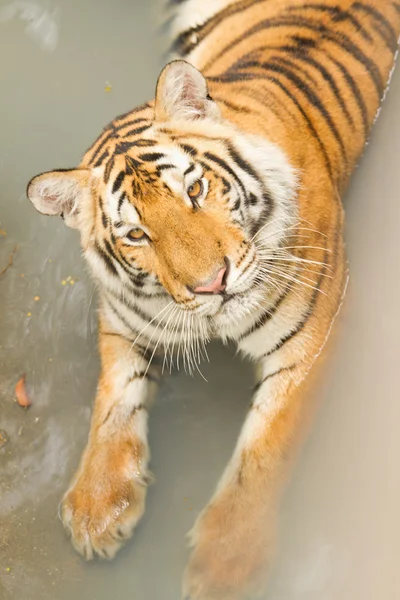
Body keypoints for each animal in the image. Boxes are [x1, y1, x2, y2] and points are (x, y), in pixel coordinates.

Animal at [26, 1, 398, 600]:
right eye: (136, 235)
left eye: (195, 190)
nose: (212, 284)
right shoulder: (126, 319)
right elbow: (113, 400)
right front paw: (97, 508)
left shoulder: (310, 338)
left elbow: (265, 450)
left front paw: (226, 566)